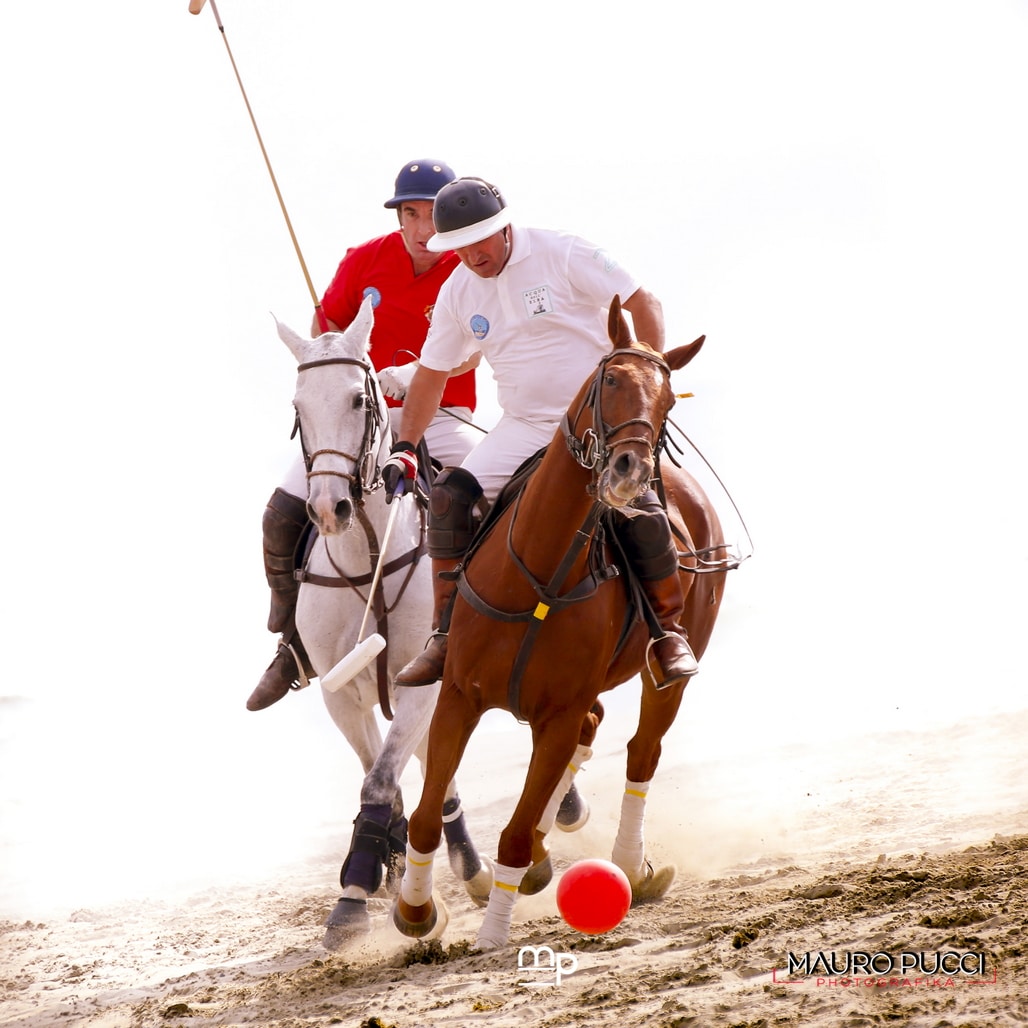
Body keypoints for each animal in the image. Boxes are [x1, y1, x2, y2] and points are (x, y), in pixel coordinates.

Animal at [277, 296, 493, 945]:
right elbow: (383, 778)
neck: (368, 549)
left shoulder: (422, 679)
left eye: (358, 398)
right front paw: (363, 884)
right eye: (297, 407)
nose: (329, 509)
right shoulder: (341, 692)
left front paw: (368, 879)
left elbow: (385, 776)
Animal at [392, 298, 731, 945]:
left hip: (669, 666)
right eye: (611, 379)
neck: (537, 574)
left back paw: (630, 865)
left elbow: (514, 834)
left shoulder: (558, 712)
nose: (629, 470)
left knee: (641, 749)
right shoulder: (458, 696)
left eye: (668, 403)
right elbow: (424, 816)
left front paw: (491, 938)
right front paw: (416, 912)